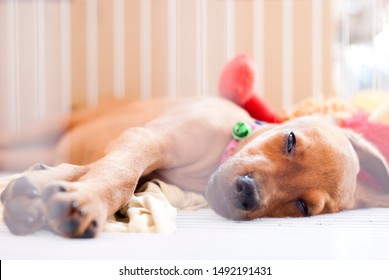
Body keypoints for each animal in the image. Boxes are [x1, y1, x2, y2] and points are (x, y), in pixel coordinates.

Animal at [0, 97, 388, 237]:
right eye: (290, 140)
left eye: (303, 207)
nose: (247, 192)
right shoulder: (146, 139)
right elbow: (117, 175)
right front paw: (85, 200)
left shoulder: (142, 160)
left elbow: (94, 169)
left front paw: (38, 186)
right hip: (38, 130)